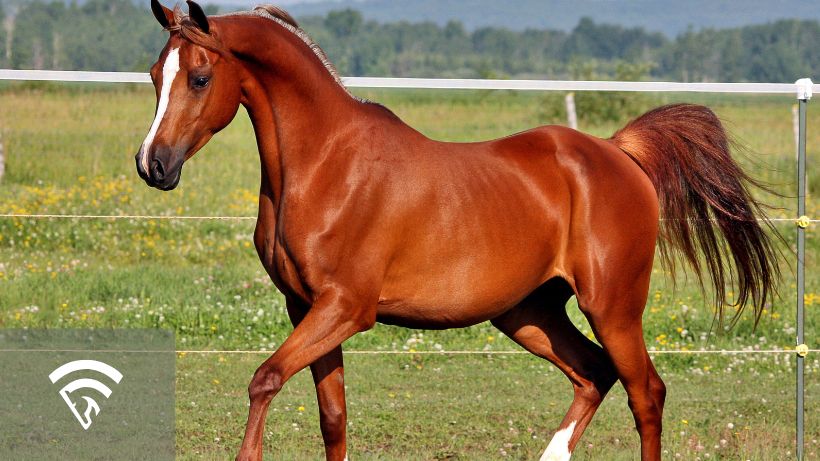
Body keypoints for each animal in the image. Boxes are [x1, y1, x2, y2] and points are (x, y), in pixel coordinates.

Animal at [138, 1, 780, 458]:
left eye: (199, 78)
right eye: (152, 75)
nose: (153, 165)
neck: (324, 163)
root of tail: (619, 153)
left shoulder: (346, 308)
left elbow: (264, 379)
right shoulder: (306, 308)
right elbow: (333, 418)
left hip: (613, 306)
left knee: (646, 393)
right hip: (528, 313)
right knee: (594, 374)